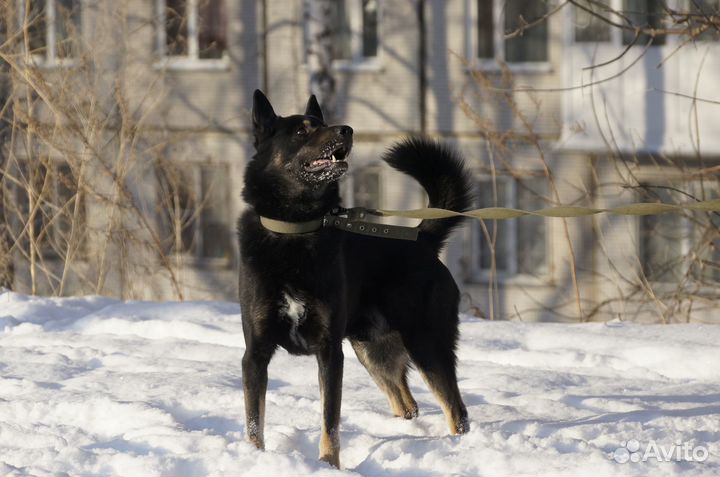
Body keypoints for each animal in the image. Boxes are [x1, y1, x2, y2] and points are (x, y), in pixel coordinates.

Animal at [236, 90, 472, 468]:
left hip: (426, 343)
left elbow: (330, 420)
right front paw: (255, 459)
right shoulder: (255, 354)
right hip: (373, 351)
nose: (346, 129)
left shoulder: (330, 354)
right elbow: (254, 421)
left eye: (322, 124)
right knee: (407, 403)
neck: (296, 231)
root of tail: (422, 239)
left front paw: (328, 465)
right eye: (301, 131)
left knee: (456, 409)